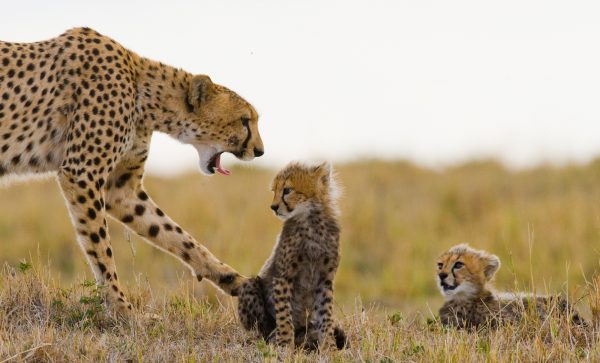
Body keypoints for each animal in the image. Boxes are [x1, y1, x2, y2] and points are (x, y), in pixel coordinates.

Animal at [0, 28, 262, 318]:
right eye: (244, 121)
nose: (260, 151)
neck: (145, 92)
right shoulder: (82, 174)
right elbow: (101, 248)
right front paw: (121, 309)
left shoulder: (121, 190)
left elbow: (176, 234)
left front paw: (234, 279)